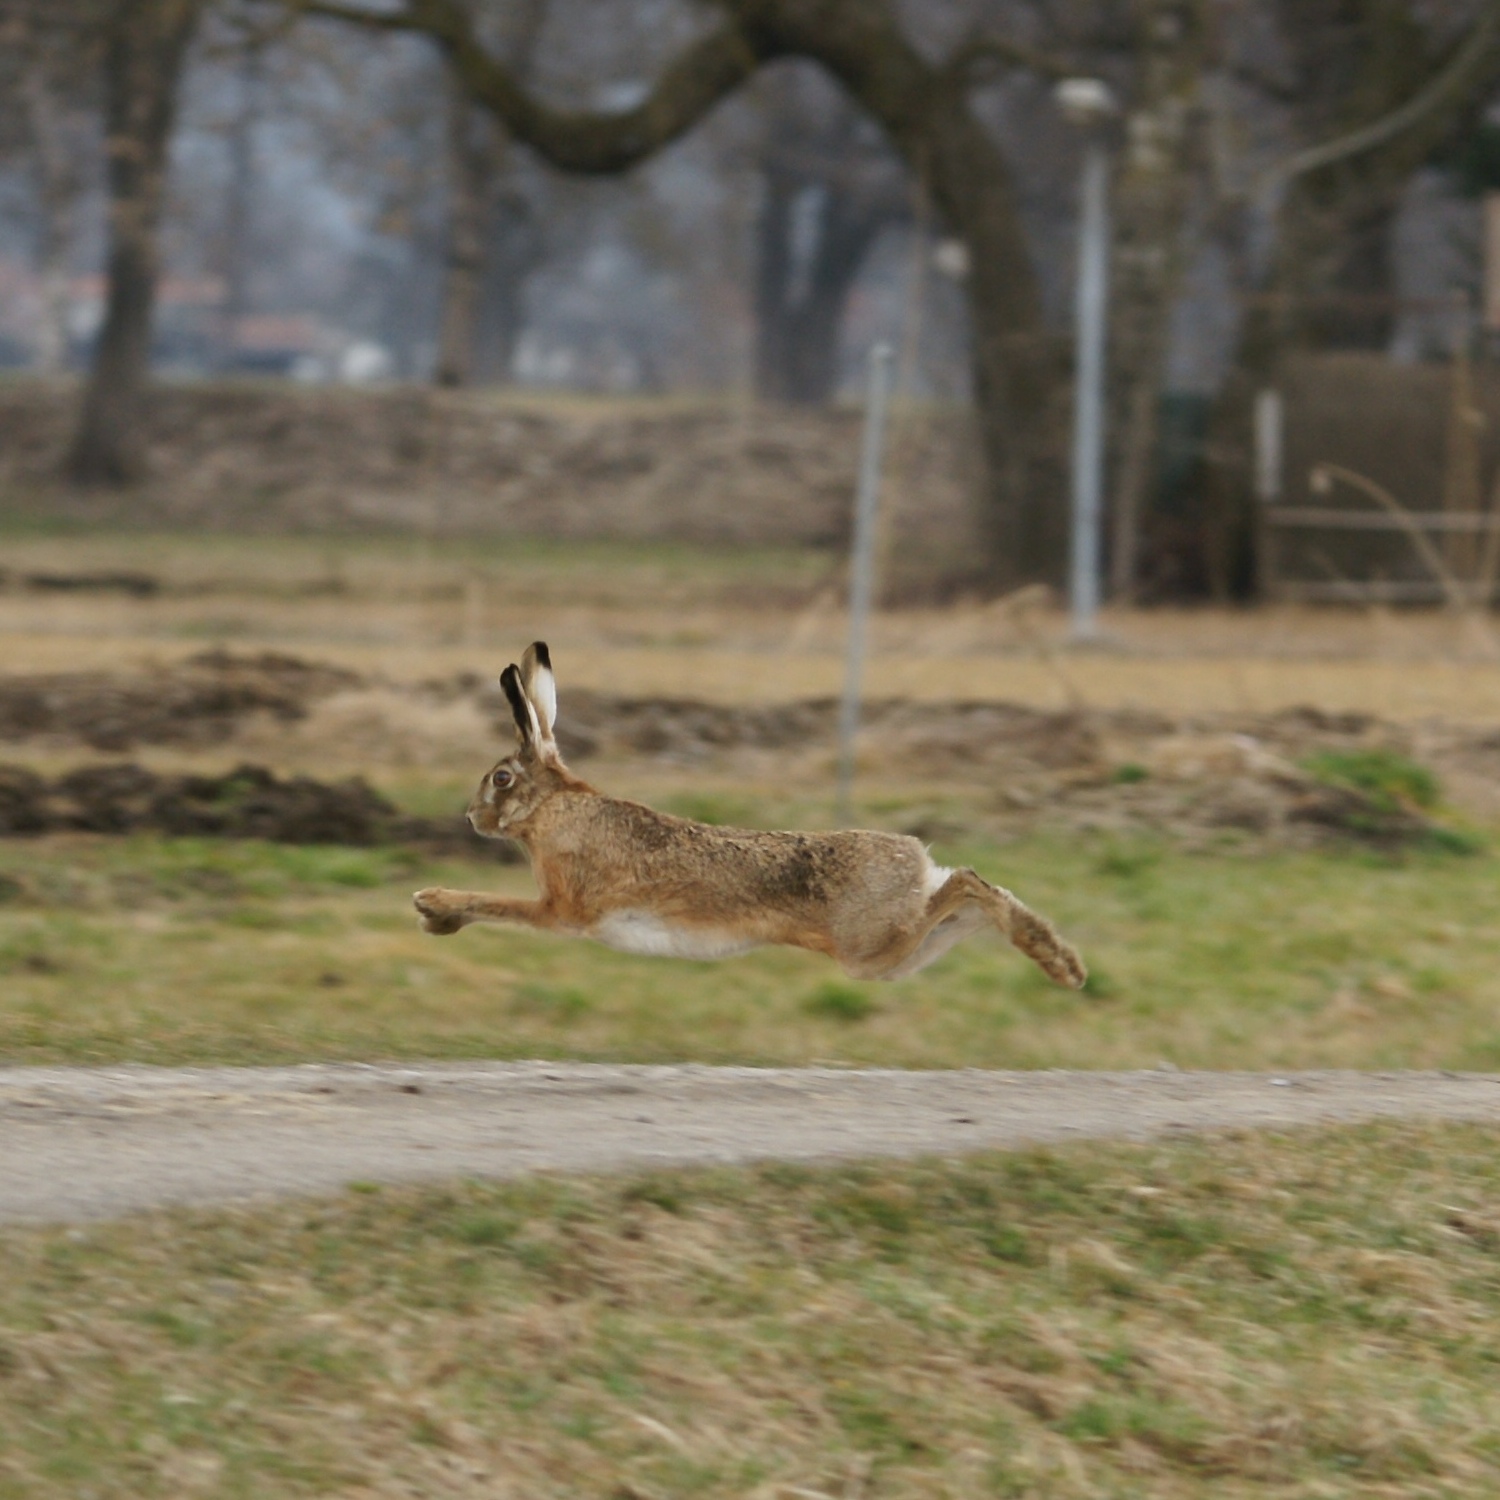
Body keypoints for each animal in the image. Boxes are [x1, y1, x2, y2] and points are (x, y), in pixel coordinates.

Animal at [413, 643, 1085, 986]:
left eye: (501, 778)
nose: (471, 818)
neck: (555, 807)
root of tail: (912, 857)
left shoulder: (562, 907)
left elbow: (501, 905)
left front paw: (434, 906)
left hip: (869, 946)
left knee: (968, 886)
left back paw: (1058, 961)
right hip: (891, 954)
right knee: (969, 894)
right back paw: (1060, 957)